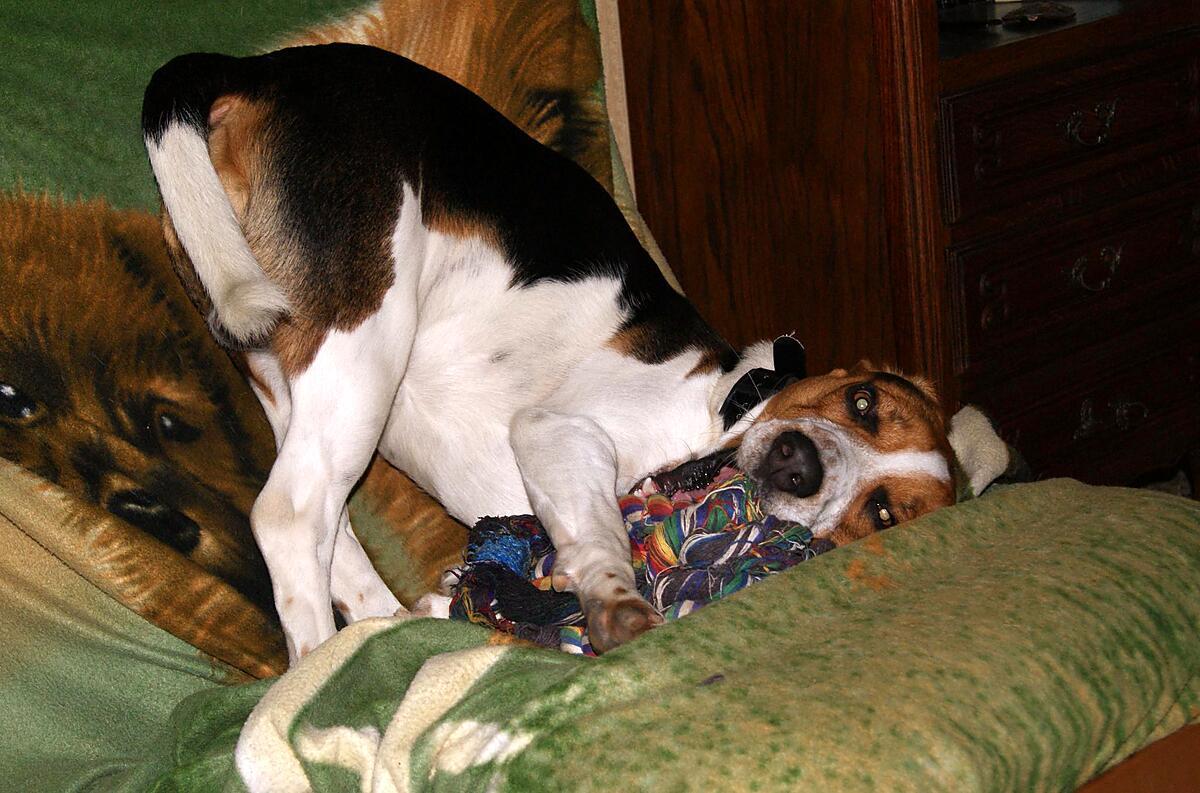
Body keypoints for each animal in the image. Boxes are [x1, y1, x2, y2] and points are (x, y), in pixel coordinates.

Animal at [145, 43, 960, 662]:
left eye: (884, 514)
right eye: (863, 401)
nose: (801, 463)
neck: (717, 410)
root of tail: (262, 68)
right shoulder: (557, 430)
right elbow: (601, 535)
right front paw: (614, 596)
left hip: (292, 376)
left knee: (329, 531)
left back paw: (393, 633)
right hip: (363, 334)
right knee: (288, 514)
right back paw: (321, 668)